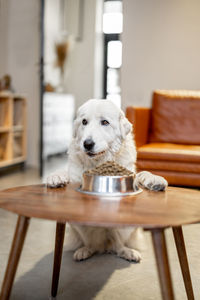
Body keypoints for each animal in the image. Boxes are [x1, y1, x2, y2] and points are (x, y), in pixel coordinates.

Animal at [47, 99, 167, 262]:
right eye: (84, 122)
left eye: (105, 122)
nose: (87, 144)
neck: (100, 161)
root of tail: (105, 245)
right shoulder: (76, 176)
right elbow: (66, 173)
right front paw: (56, 176)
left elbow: (143, 173)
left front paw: (156, 180)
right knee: (92, 244)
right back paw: (85, 251)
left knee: (118, 245)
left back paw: (128, 252)